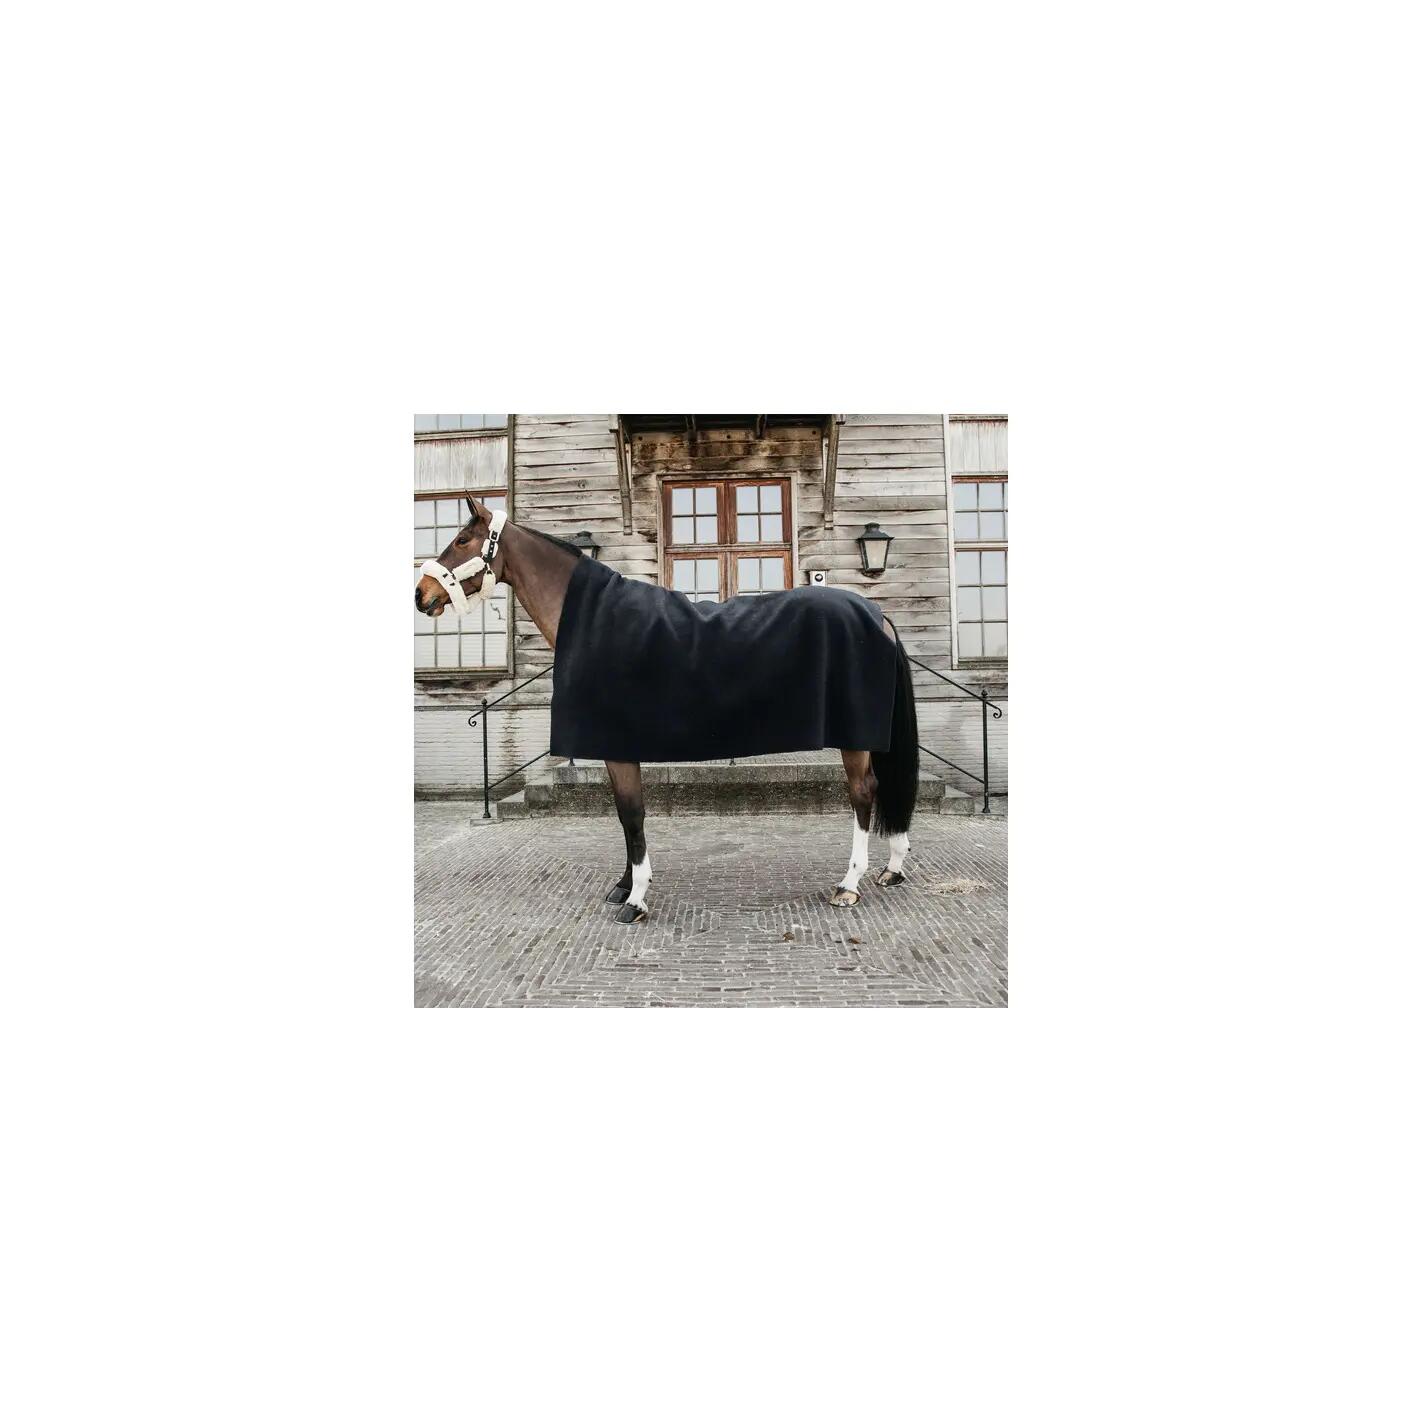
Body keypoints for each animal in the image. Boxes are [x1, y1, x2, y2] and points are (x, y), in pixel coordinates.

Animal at [415, 497, 919, 924]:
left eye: (462, 541)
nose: (421, 594)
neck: (593, 619)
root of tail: (874, 613)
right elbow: (625, 817)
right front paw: (624, 885)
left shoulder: (619, 749)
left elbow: (632, 815)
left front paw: (636, 899)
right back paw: (892, 869)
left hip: (854, 740)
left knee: (863, 794)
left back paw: (849, 884)